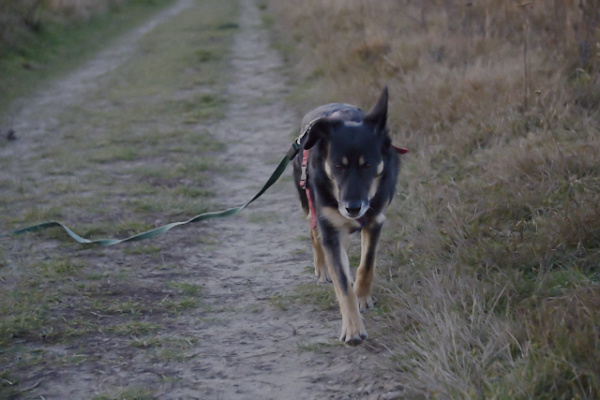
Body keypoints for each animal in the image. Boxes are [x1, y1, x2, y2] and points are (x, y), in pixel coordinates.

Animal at [292, 87, 402, 345]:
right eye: (338, 166)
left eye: (368, 165)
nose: (353, 208)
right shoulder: (330, 228)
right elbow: (343, 284)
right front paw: (352, 328)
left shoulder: (375, 220)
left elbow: (367, 264)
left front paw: (362, 297)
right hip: (308, 202)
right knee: (314, 235)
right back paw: (322, 268)